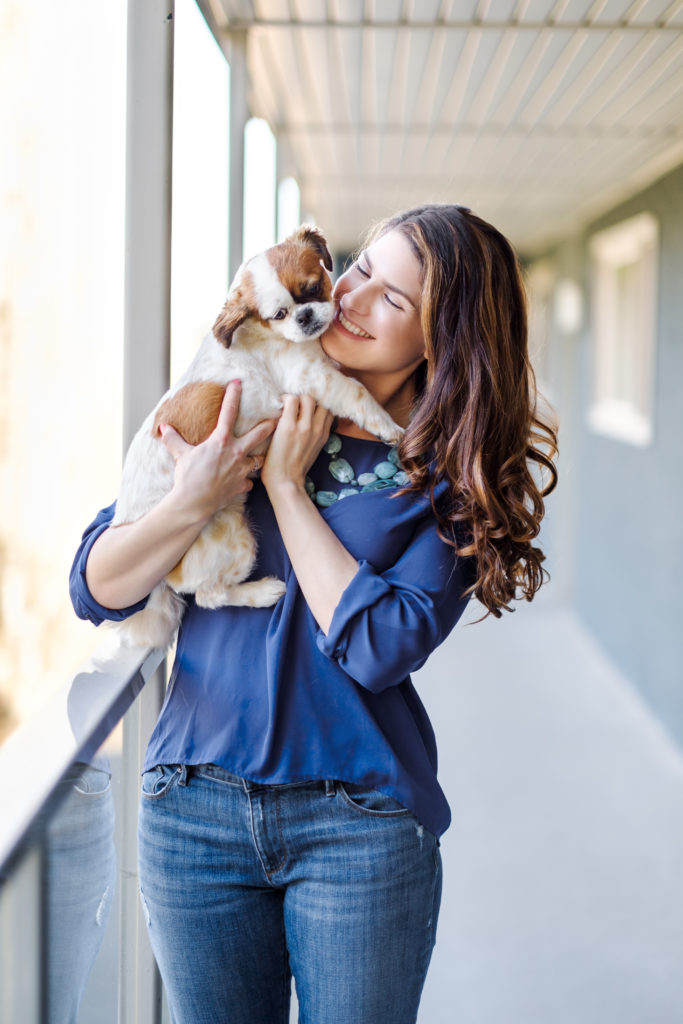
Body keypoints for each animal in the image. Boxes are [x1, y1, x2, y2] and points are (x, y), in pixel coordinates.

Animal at [110, 228, 403, 651]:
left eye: (313, 288)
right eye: (277, 315)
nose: (305, 316)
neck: (266, 335)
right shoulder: (312, 377)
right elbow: (358, 392)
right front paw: (388, 426)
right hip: (234, 539)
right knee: (209, 596)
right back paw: (262, 592)